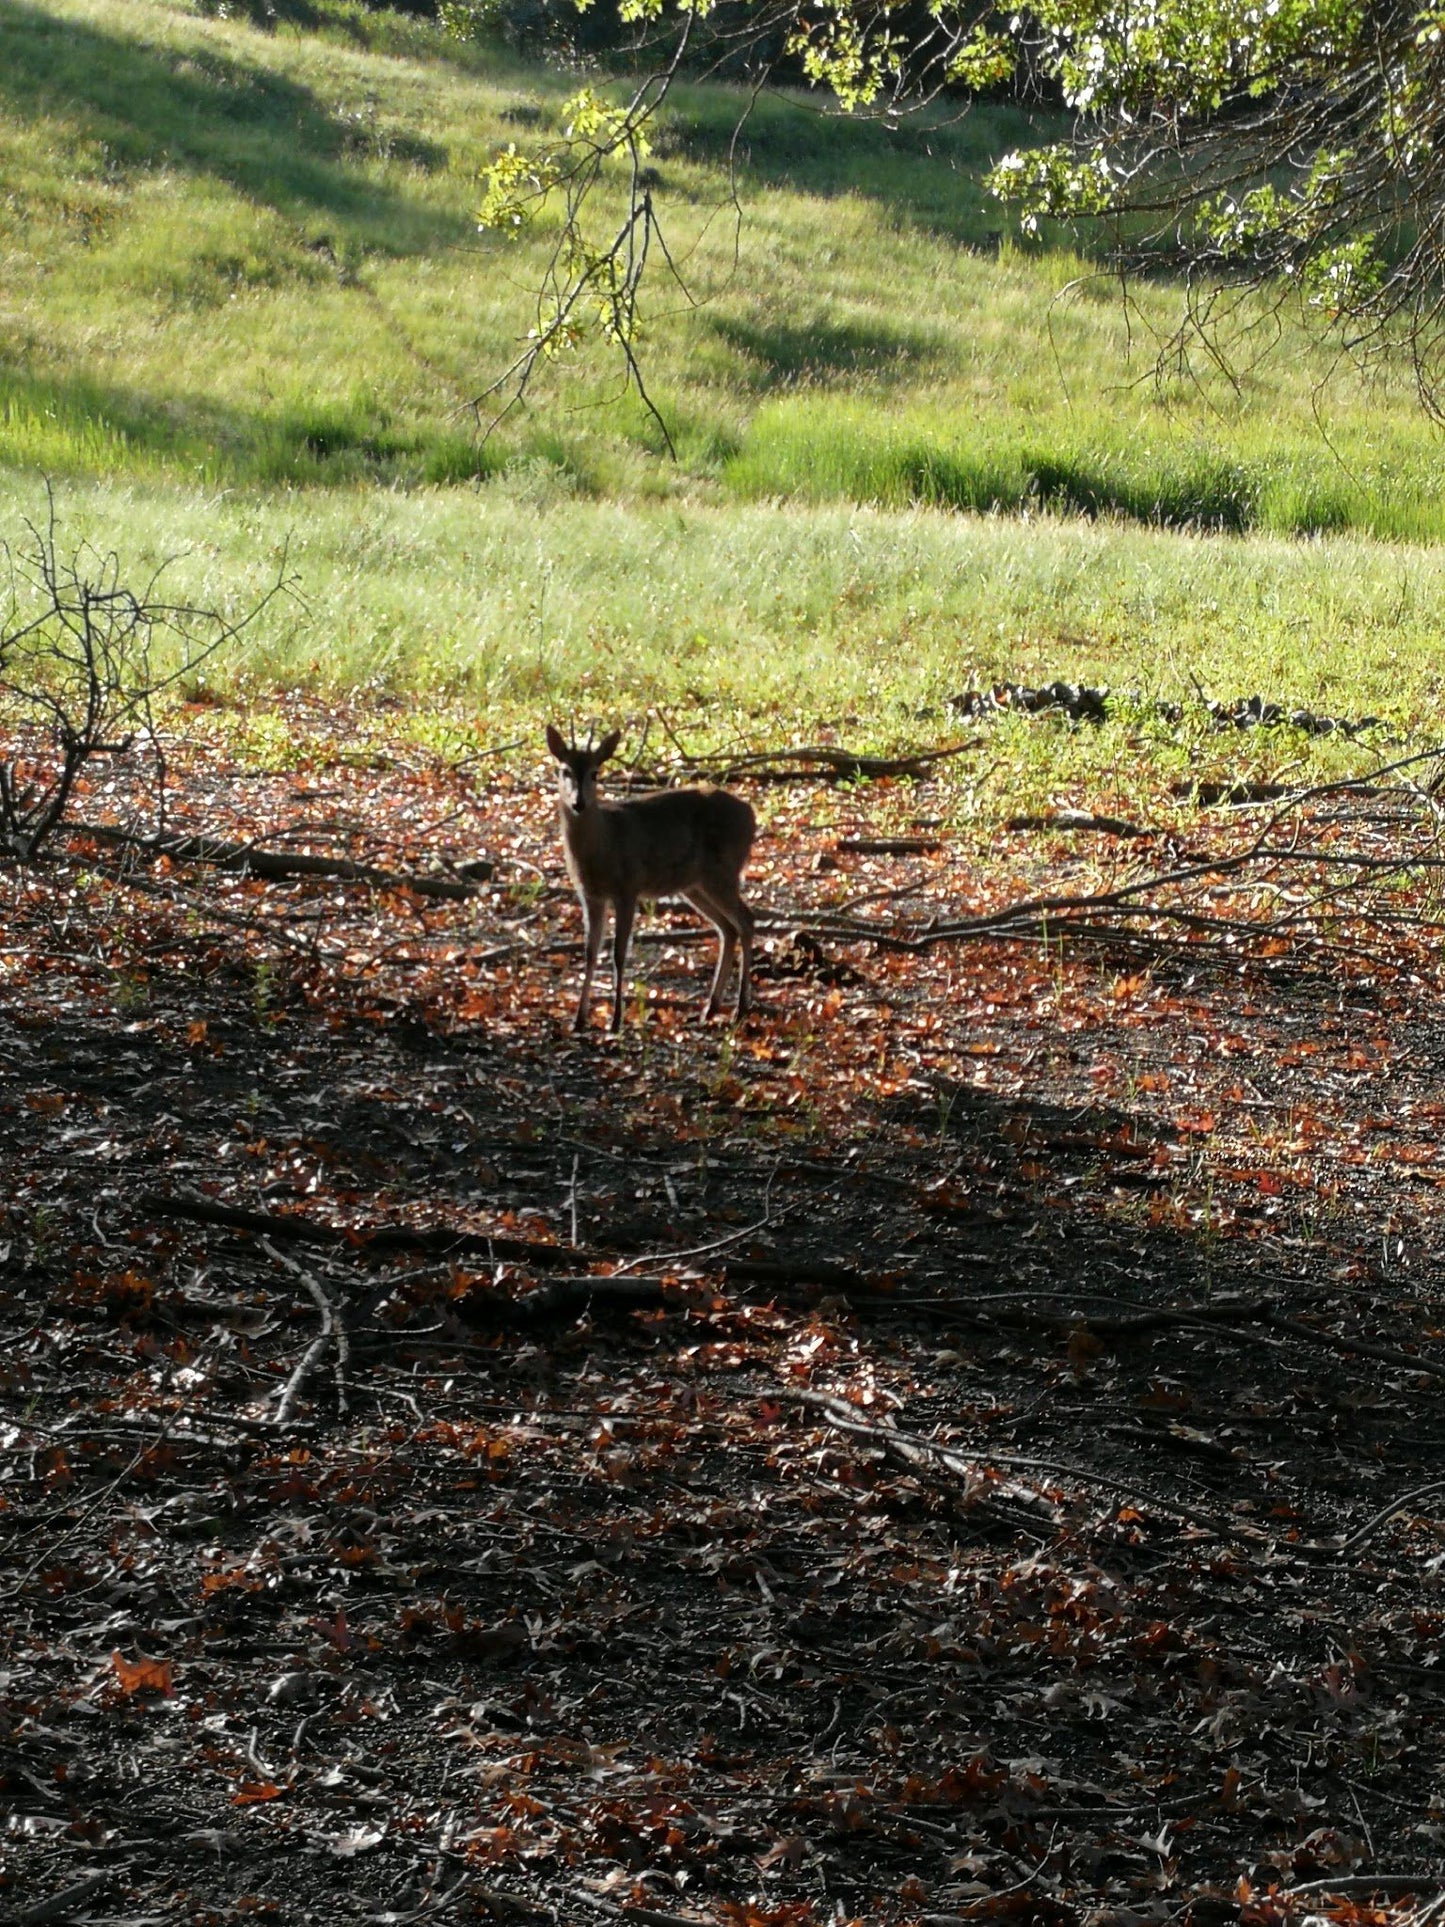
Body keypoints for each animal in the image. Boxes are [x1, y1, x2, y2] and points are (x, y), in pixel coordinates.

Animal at [547, 724, 762, 1032]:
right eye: (564, 770)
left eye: (595, 772)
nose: (579, 803)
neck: (603, 844)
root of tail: (751, 814)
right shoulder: (589, 894)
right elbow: (590, 951)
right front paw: (579, 1019)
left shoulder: (627, 887)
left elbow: (618, 953)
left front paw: (616, 1020)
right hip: (695, 885)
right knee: (728, 928)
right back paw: (710, 1008)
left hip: (723, 872)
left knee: (746, 920)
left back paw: (740, 1009)